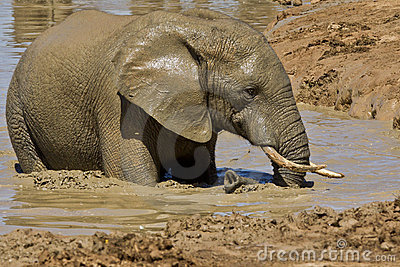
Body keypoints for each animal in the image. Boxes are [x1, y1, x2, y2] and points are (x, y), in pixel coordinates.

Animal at [6, 8, 332, 188]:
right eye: (250, 92)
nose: (275, 182)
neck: (199, 30)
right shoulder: (117, 102)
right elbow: (133, 176)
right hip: (17, 110)